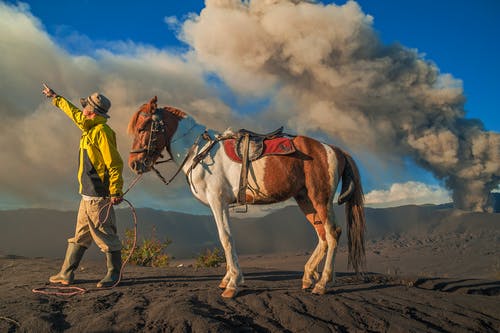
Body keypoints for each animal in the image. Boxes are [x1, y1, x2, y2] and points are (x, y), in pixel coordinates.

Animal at [127, 96, 366, 298]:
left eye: (141, 128)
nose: (134, 164)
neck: (200, 152)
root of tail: (333, 149)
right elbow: (226, 238)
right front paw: (228, 279)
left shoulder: (218, 201)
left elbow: (225, 238)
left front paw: (233, 284)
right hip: (306, 200)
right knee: (322, 236)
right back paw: (309, 277)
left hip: (320, 198)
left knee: (333, 233)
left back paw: (323, 283)